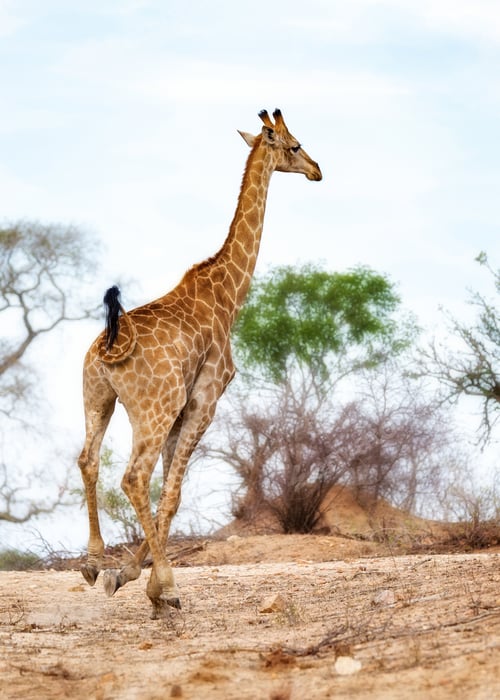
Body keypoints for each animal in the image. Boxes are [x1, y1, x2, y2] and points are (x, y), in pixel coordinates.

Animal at [77, 108, 322, 617]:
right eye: (294, 144)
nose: (317, 170)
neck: (229, 293)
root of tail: (108, 348)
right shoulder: (204, 399)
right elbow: (173, 493)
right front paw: (155, 586)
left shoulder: (183, 407)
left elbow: (169, 492)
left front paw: (126, 575)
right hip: (152, 409)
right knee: (133, 477)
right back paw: (164, 585)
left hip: (99, 397)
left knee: (88, 459)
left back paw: (92, 564)